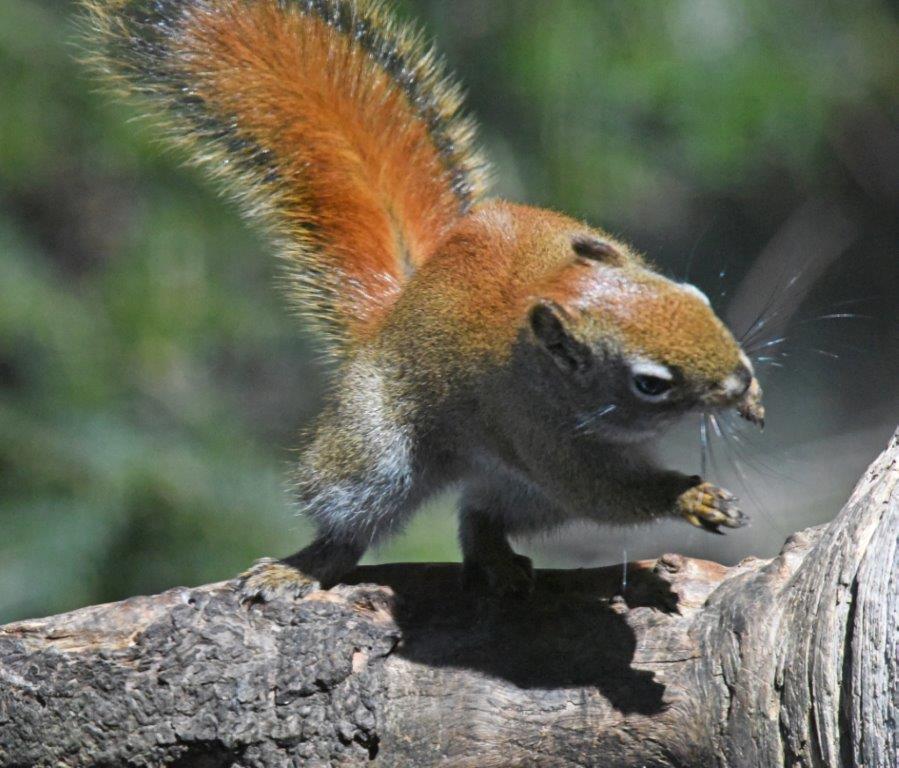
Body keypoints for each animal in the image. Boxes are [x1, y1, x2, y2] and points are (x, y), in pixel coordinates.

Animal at [81, 0, 765, 598]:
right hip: (376, 452)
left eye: (700, 299)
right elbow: (604, 495)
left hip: (527, 495)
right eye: (650, 383)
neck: (548, 287)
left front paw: (756, 399)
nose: (736, 382)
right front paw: (691, 497)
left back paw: (497, 559)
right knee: (354, 521)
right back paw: (305, 566)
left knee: (479, 518)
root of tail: (397, 306)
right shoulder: (539, 433)